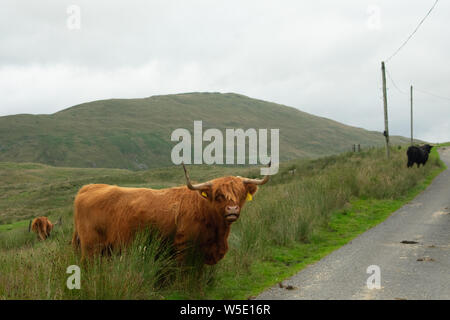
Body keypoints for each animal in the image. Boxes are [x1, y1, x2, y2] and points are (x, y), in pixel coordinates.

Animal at [71, 164, 268, 264]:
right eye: (218, 196)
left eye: (240, 194)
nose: (232, 210)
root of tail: (88, 187)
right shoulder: (184, 248)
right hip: (91, 248)